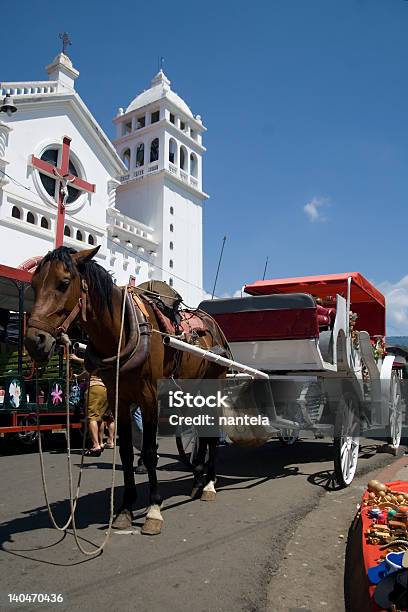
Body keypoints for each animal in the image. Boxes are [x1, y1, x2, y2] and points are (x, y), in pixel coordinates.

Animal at [24, 246, 230, 532]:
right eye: (33, 284)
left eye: (64, 283)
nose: (34, 341)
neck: (122, 333)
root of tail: (212, 324)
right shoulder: (118, 398)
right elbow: (125, 451)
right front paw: (124, 508)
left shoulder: (150, 397)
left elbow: (149, 451)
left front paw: (153, 509)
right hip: (193, 389)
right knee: (200, 430)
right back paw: (198, 479)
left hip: (214, 385)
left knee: (211, 435)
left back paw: (209, 483)